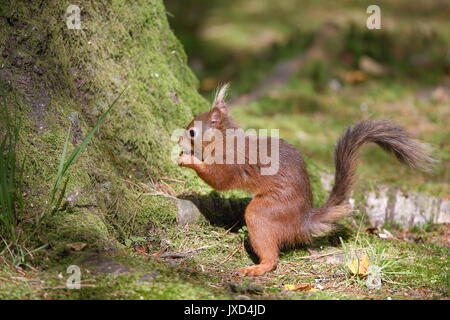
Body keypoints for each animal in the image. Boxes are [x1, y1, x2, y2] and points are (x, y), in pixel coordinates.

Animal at [177, 84, 436, 276]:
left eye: (192, 132)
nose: (179, 140)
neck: (224, 140)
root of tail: (302, 222)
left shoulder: (231, 163)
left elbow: (218, 179)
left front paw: (187, 159)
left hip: (265, 212)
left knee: (271, 254)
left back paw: (257, 267)